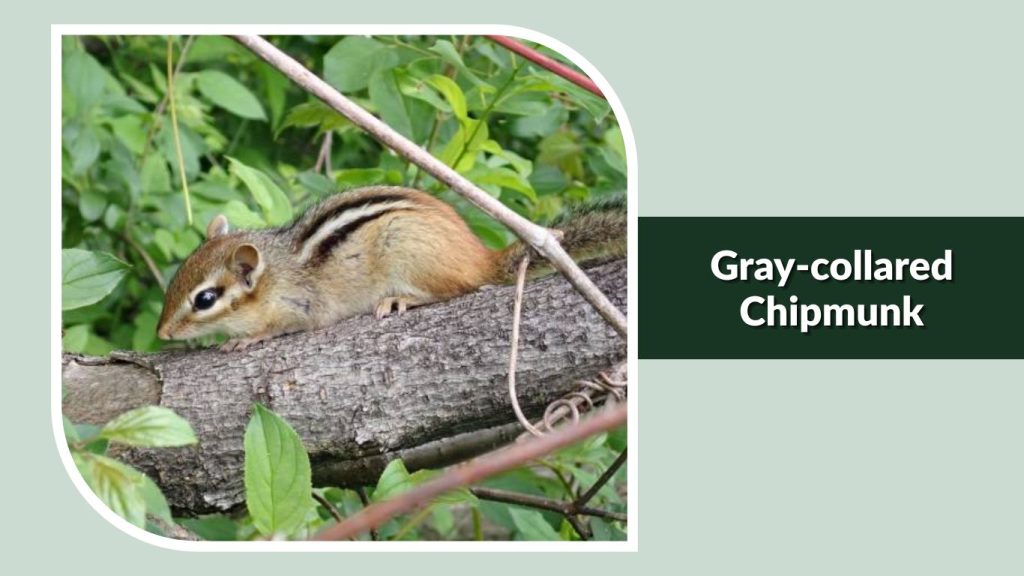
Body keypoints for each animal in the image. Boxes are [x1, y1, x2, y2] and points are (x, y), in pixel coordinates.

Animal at [156, 186, 624, 351]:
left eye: (205, 299)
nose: (162, 334)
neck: (276, 273)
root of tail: (481, 257)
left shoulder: (300, 306)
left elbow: (285, 326)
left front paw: (245, 339)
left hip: (407, 251)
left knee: (459, 289)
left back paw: (401, 299)